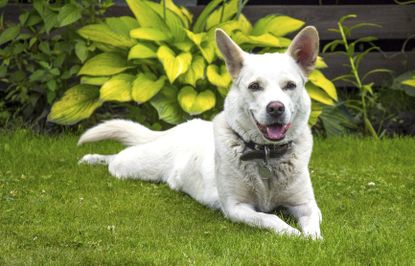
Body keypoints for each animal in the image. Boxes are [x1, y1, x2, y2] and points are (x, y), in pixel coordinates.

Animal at [79, 26, 324, 239]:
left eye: (290, 85)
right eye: (254, 86)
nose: (275, 108)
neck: (266, 154)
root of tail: (180, 127)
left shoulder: (306, 204)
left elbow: (313, 224)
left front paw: (312, 238)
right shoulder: (236, 207)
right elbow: (270, 218)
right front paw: (291, 233)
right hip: (135, 166)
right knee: (115, 159)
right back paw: (92, 158)